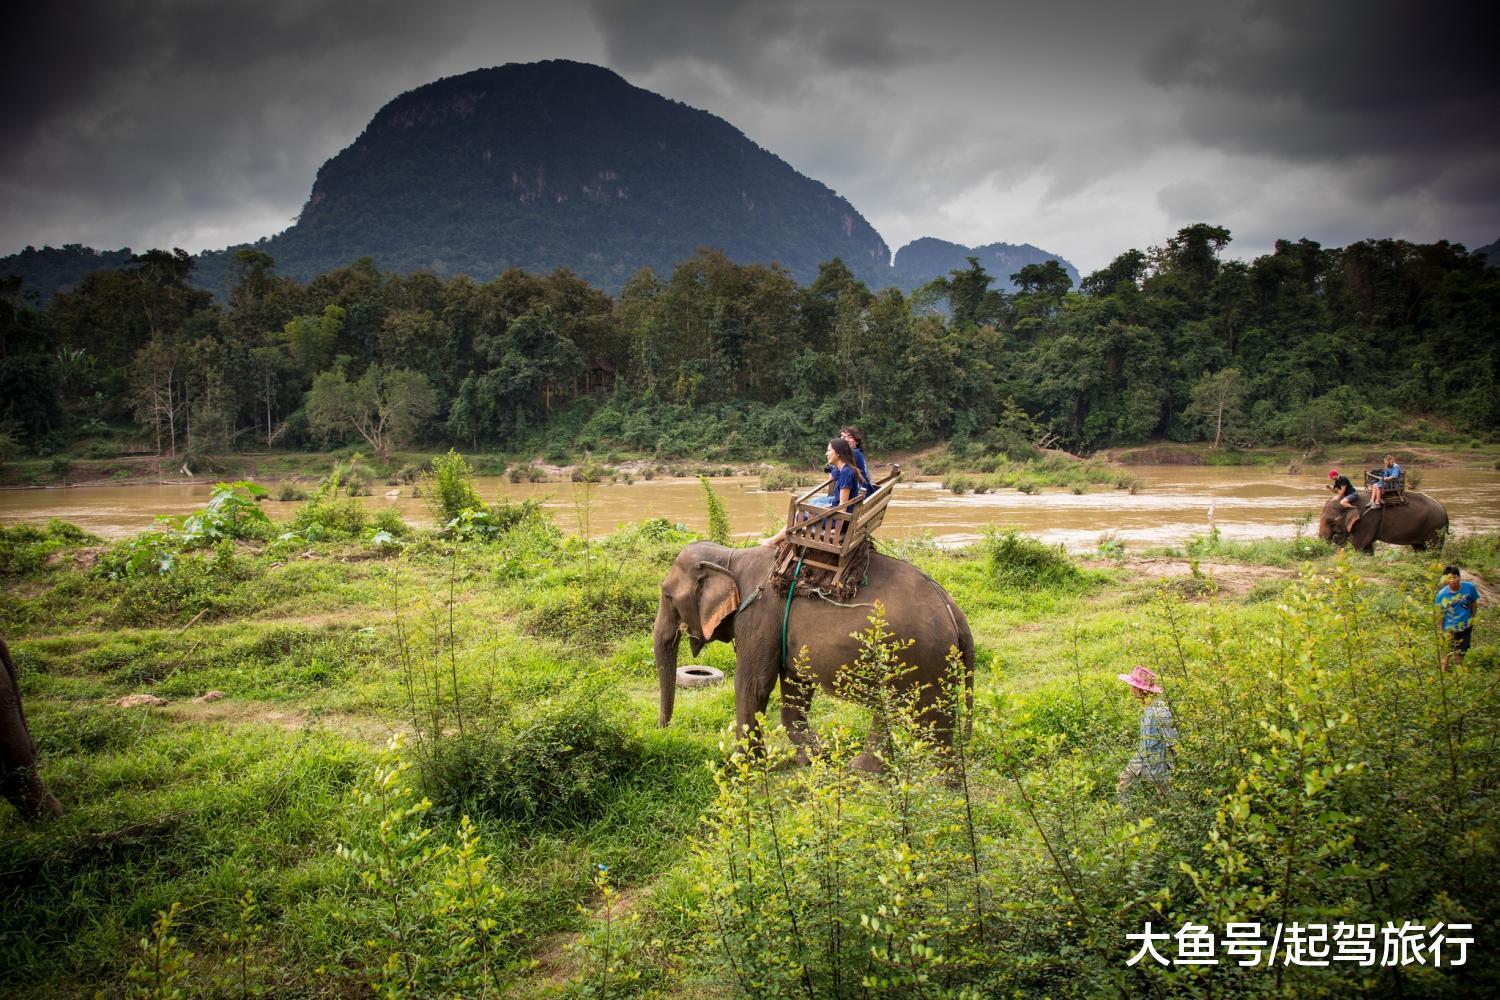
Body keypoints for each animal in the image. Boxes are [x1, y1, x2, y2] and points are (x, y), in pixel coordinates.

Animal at [653, 541, 975, 771]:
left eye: (667, 596)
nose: (663, 732)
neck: (729, 556)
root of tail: (955, 612)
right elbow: (795, 689)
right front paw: (814, 759)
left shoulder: (759, 616)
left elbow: (753, 686)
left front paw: (744, 767)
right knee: (899, 709)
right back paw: (868, 771)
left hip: (922, 657)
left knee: (927, 718)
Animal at [1317, 492, 1448, 553]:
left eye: (1331, 521)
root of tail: (1444, 509)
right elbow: (1367, 547)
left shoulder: (1367, 520)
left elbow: (1358, 544)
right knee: (1419, 548)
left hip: (1435, 528)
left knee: (1433, 550)